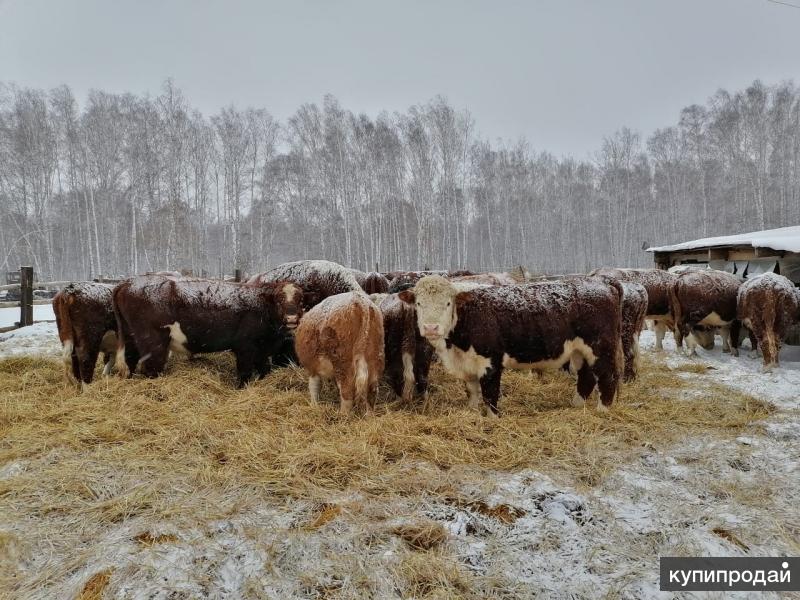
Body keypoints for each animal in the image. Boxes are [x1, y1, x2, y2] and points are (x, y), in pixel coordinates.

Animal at [111, 276, 302, 386]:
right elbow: (245, 373)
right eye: (279, 300)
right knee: (151, 368)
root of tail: (127, 283)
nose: (292, 318)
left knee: (130, 360)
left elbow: (264, 370)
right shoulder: (245, 348)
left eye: (300, 300)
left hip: (131, 337)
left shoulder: (261, 350)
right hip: (153, 342)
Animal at [400, 274, 624, 414]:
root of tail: (603, 282)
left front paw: (492, 419)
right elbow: (472, 391)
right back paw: (576, 405)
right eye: (418, 303)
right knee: (586, 377)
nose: (430, 327)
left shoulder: (490, 362)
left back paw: (602, 410)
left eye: (448, 303)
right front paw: (472, 412)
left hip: (601, 348)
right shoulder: (468, 364)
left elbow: (490, 394)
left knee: (607, 377)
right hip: (580, 351)